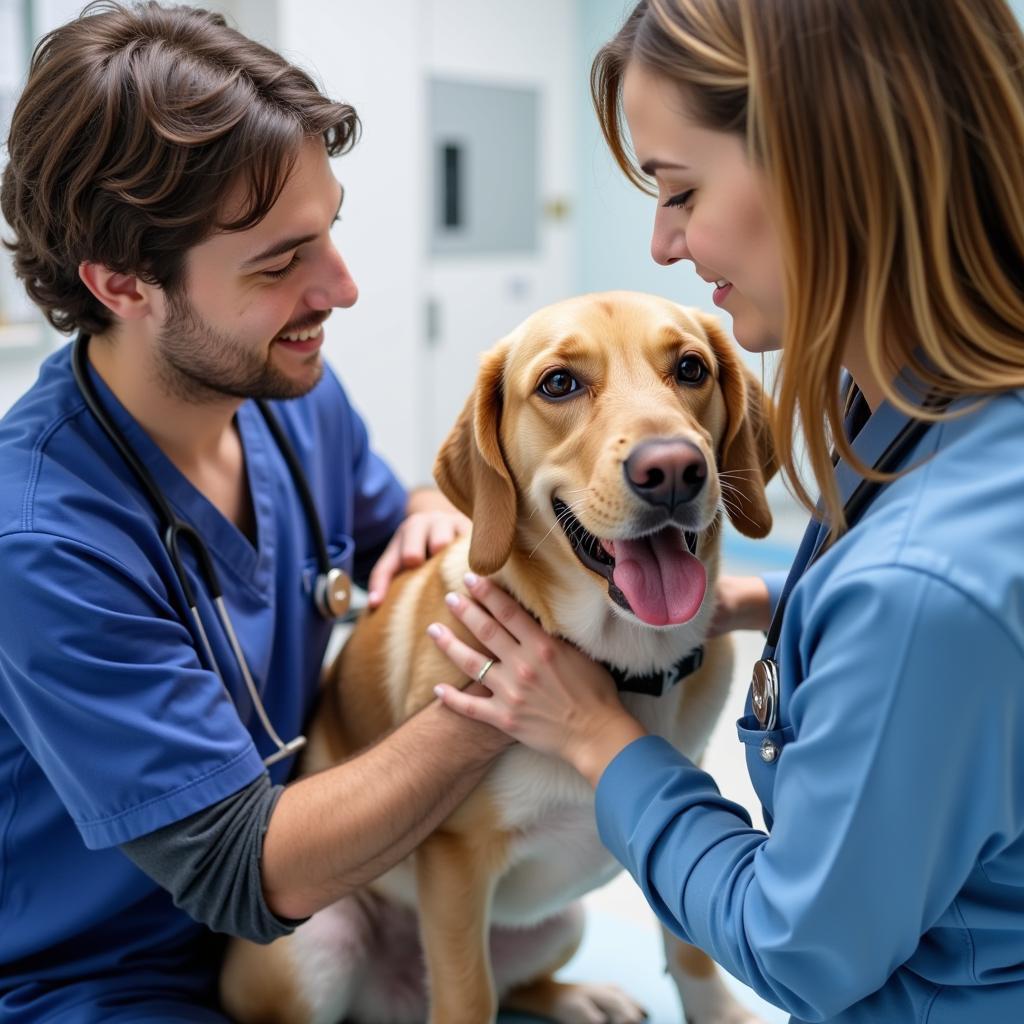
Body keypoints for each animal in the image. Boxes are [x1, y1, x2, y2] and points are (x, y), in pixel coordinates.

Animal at [220, 292, 770, 1024]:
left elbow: (691, 952)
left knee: (522, 984)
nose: (673, 470)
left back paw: (582, 998)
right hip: (318, 950)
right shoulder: (455, 864)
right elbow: (468, 993)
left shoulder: (672, 821)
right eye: (559, 383)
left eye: (691, 368)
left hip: (562, 923)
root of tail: (394, 1001)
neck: (623, 664)